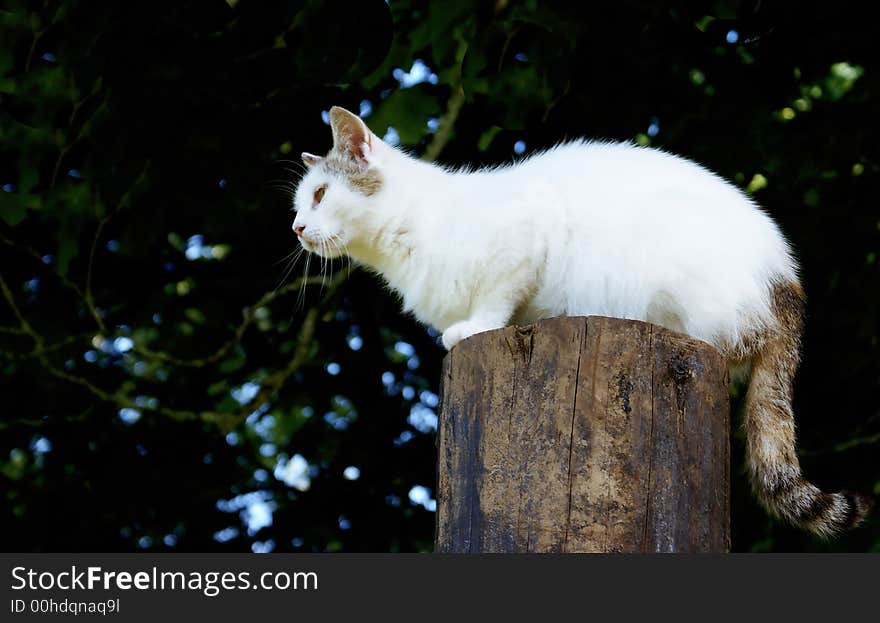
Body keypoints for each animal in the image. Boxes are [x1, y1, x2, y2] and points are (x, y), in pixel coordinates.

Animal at [292, 107, 868, 536]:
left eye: (320, 196)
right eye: (301, 204)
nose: (297, 227)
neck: (403, 238)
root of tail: (788, 285)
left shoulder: (525, 239)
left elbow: (495, 302)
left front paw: (472, 328)